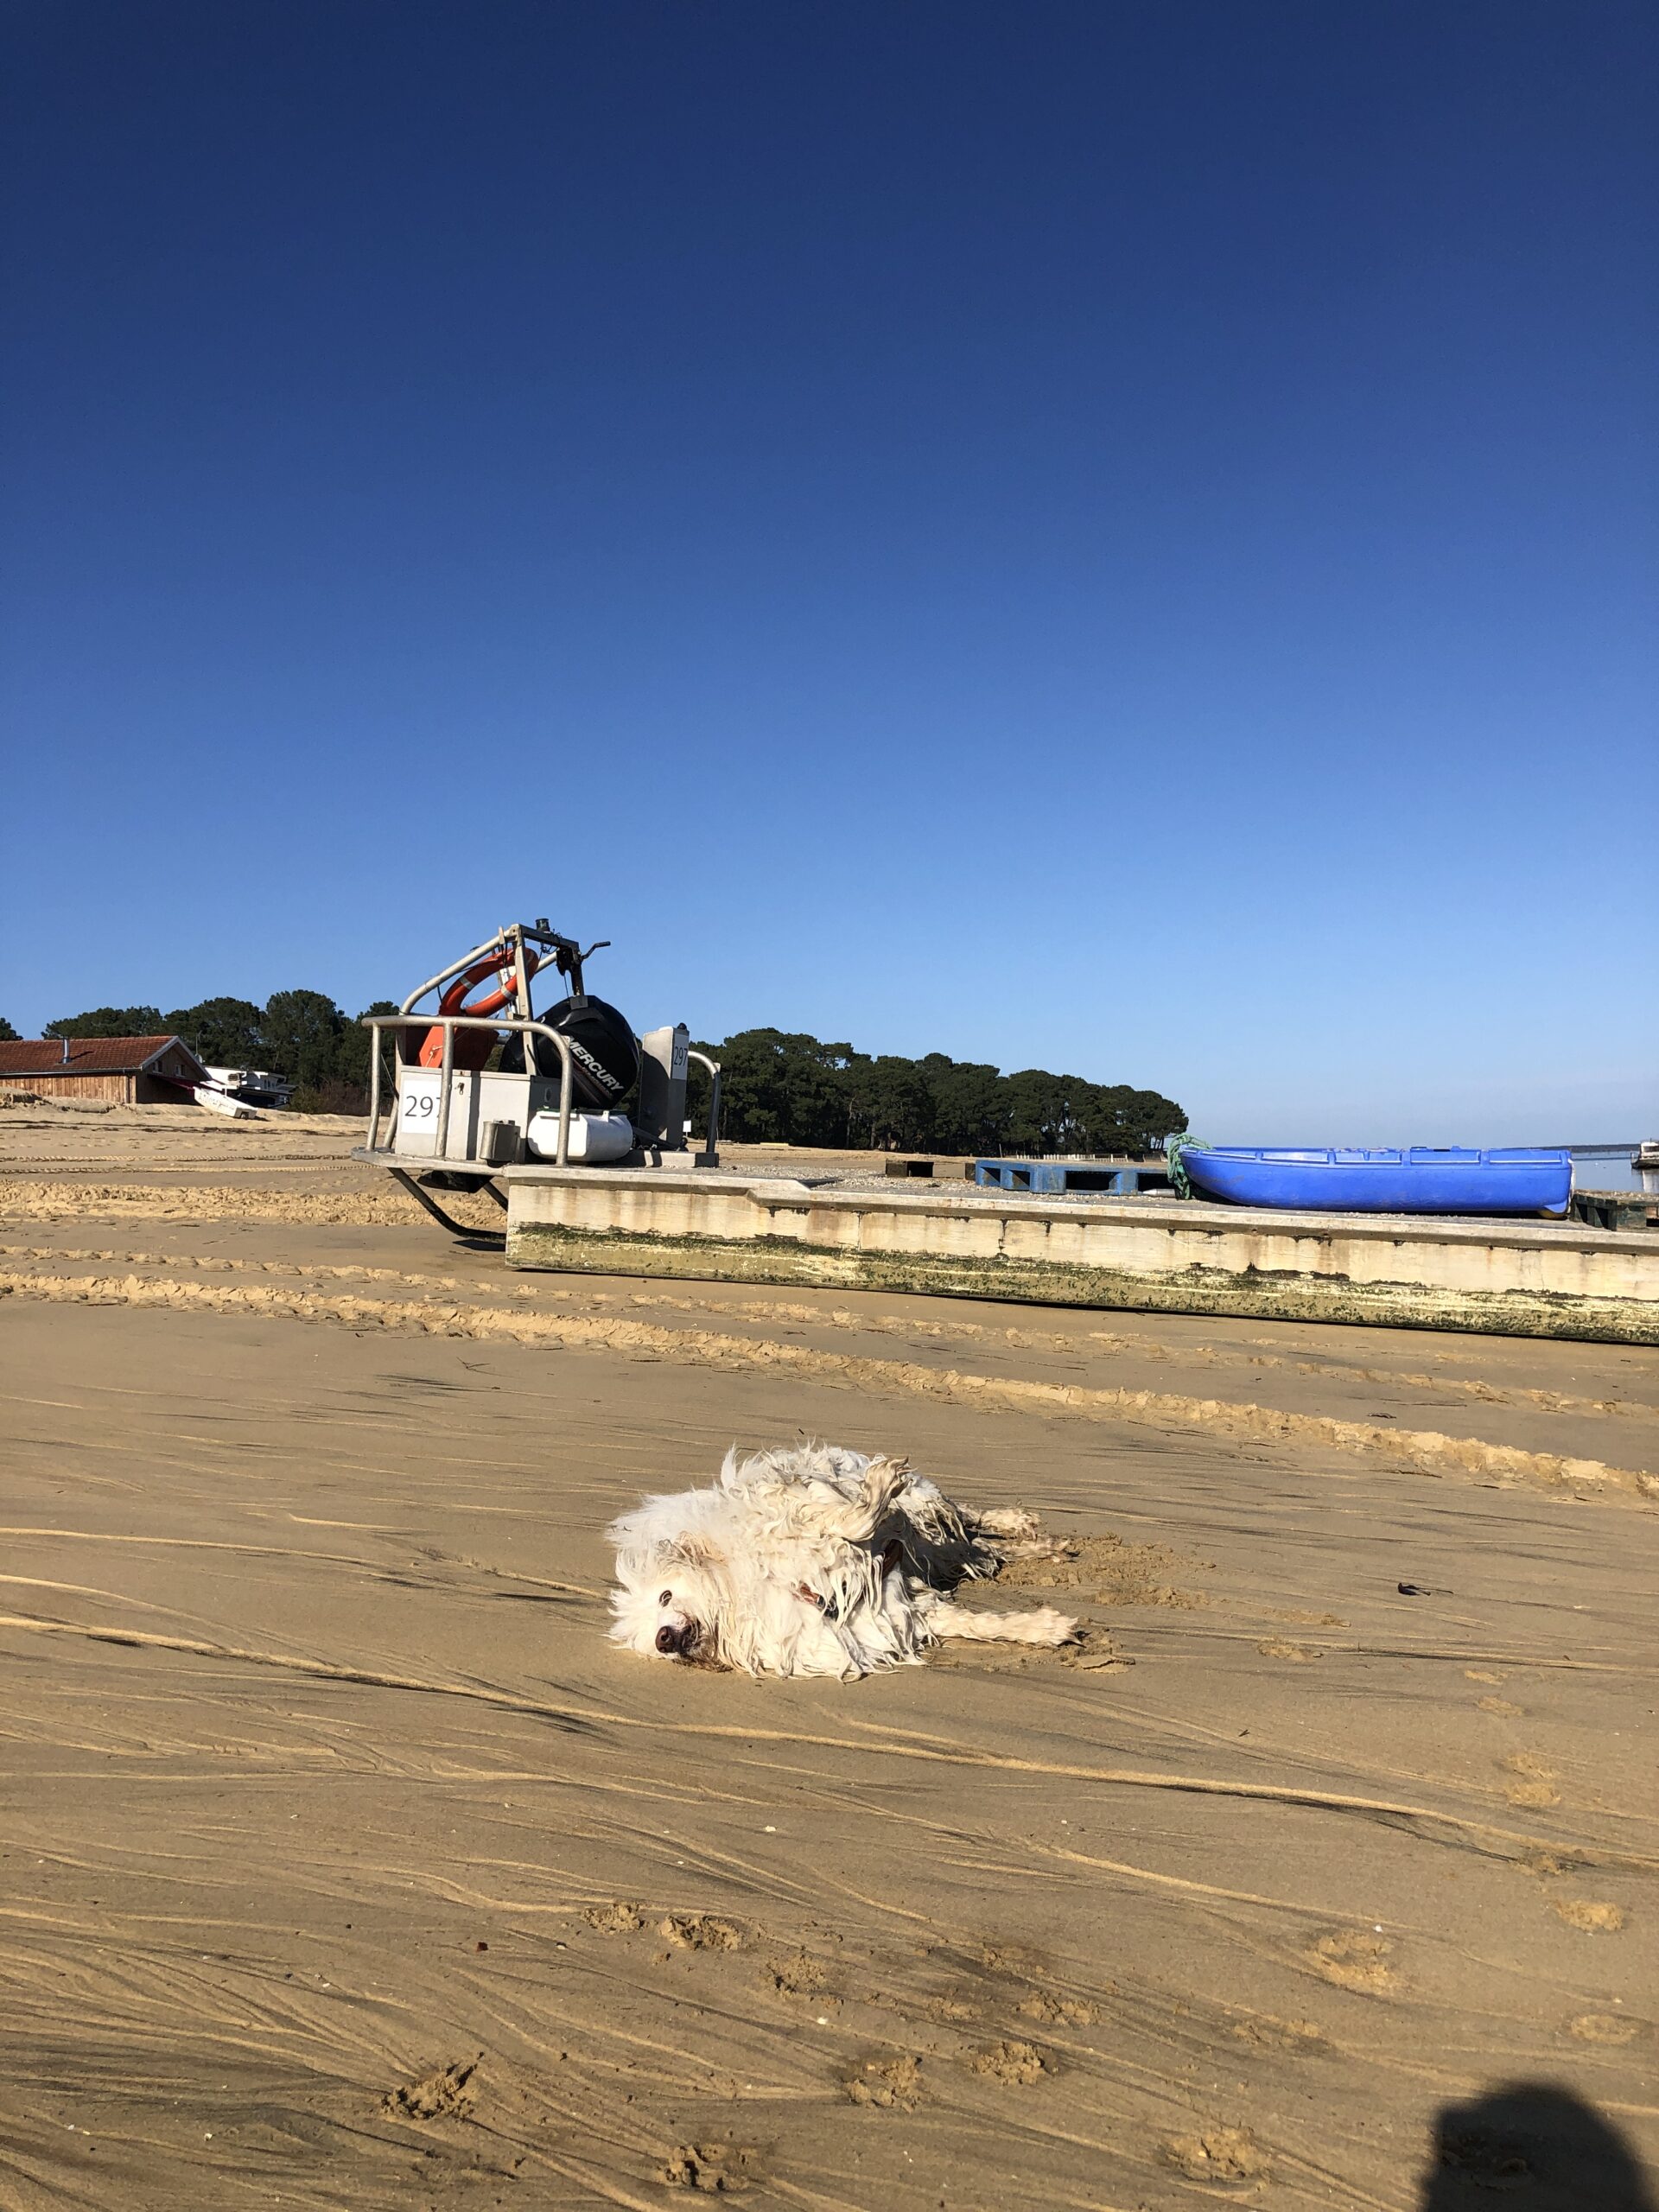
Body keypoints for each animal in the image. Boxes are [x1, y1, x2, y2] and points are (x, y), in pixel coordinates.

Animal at [610, 1442, 1079, 1681]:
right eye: (647, 1640)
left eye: (665, 1597)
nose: (663, 1640)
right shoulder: (886, 1611)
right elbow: (976, 1624)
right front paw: (1045, 1629)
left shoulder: (796, 1513)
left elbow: (851, 1518)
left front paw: (880, 1486)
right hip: (939, 1553)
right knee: (978, 1548)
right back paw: (1045, 1547)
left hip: (925, 1513)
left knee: (965, 1519)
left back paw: (1022, 1523)